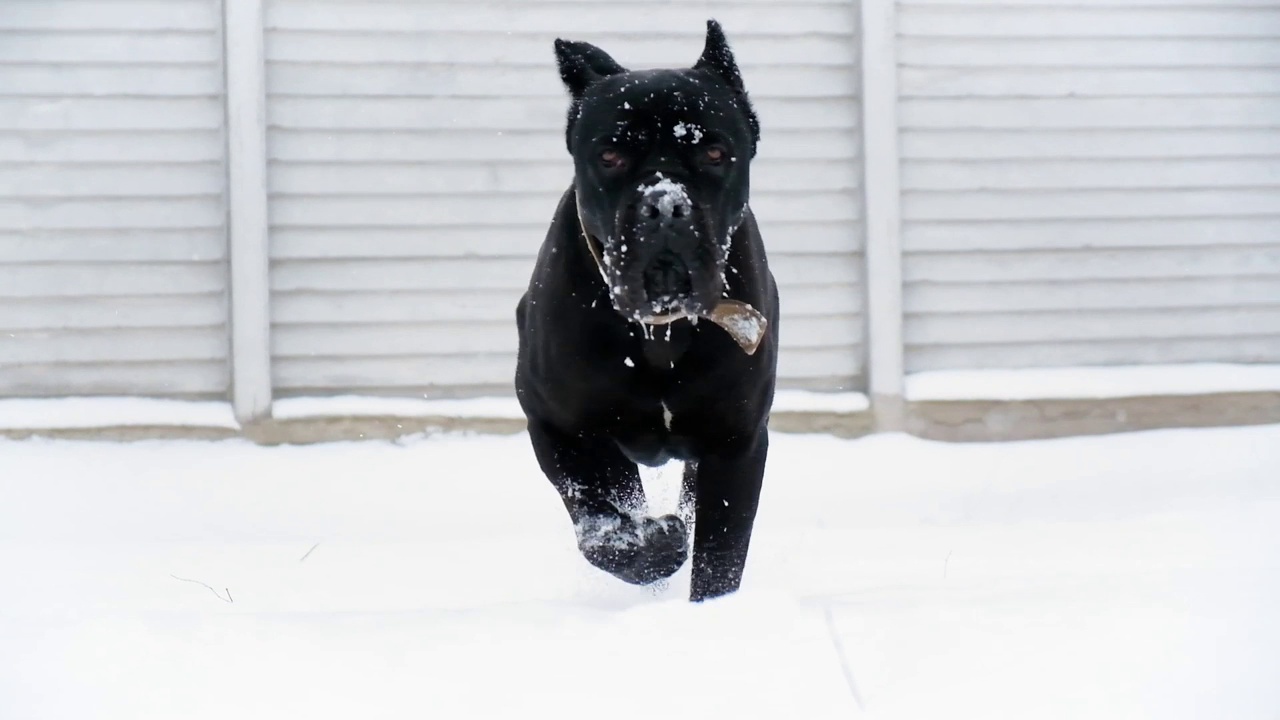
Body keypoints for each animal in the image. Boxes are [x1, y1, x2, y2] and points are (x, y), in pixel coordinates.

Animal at [512, 19, 773, 599]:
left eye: (715, 153)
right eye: (609, 157)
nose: (665, 205)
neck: (660, 334)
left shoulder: (736, 442)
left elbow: (721, 555)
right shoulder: (559, 427)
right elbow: (600, 521)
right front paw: (652, 543)